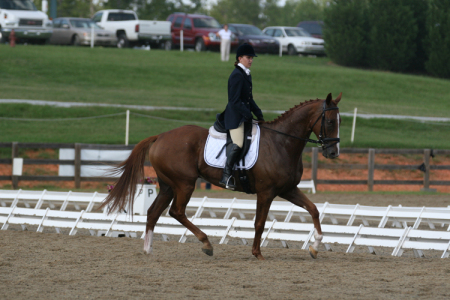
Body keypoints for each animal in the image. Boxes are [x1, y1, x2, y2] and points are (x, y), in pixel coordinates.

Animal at [101, 92, 342, 258]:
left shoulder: (287, 190)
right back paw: (206, 244)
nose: (333, 153)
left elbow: (314, 210)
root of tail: (160, 136)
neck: (282, 142)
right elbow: (259, 222)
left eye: (340, 122)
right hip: (184, 184)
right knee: (176, 211)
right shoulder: (266, 192)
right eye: (330, 121)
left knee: (153, 213)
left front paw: (315, 247)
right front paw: (257, 253)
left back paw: (148, 250)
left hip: (168, 185)